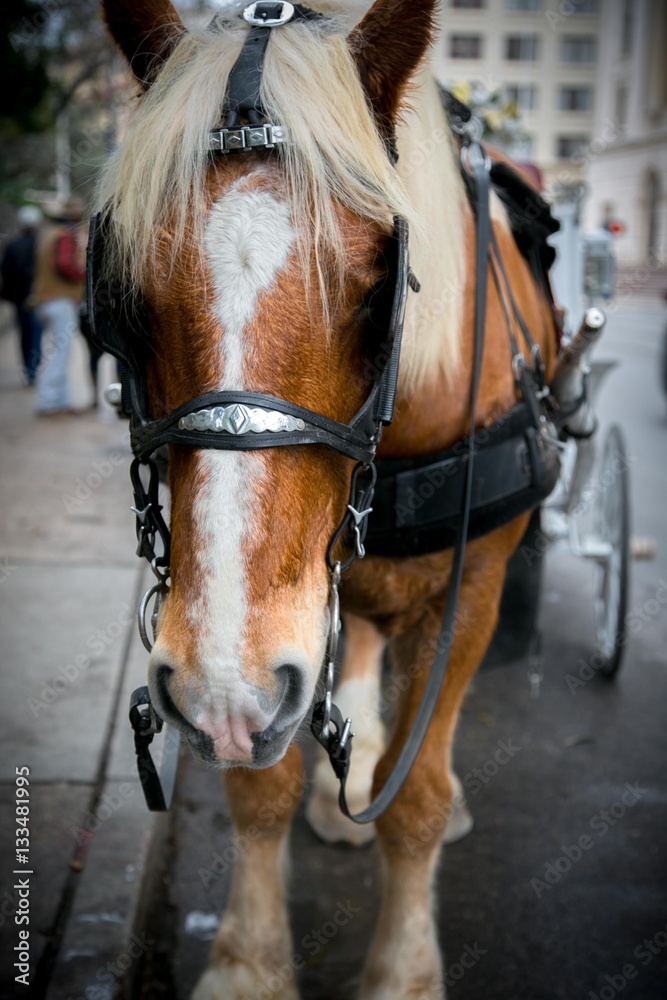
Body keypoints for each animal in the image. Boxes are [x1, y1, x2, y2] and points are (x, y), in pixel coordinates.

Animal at [96, 1, 560, 996]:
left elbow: (414, 798)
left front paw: (402, 972)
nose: (222, 689)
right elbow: (256, 784)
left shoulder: (470, 589)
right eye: (125, 296)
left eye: (374, 287)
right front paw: (248, 961)